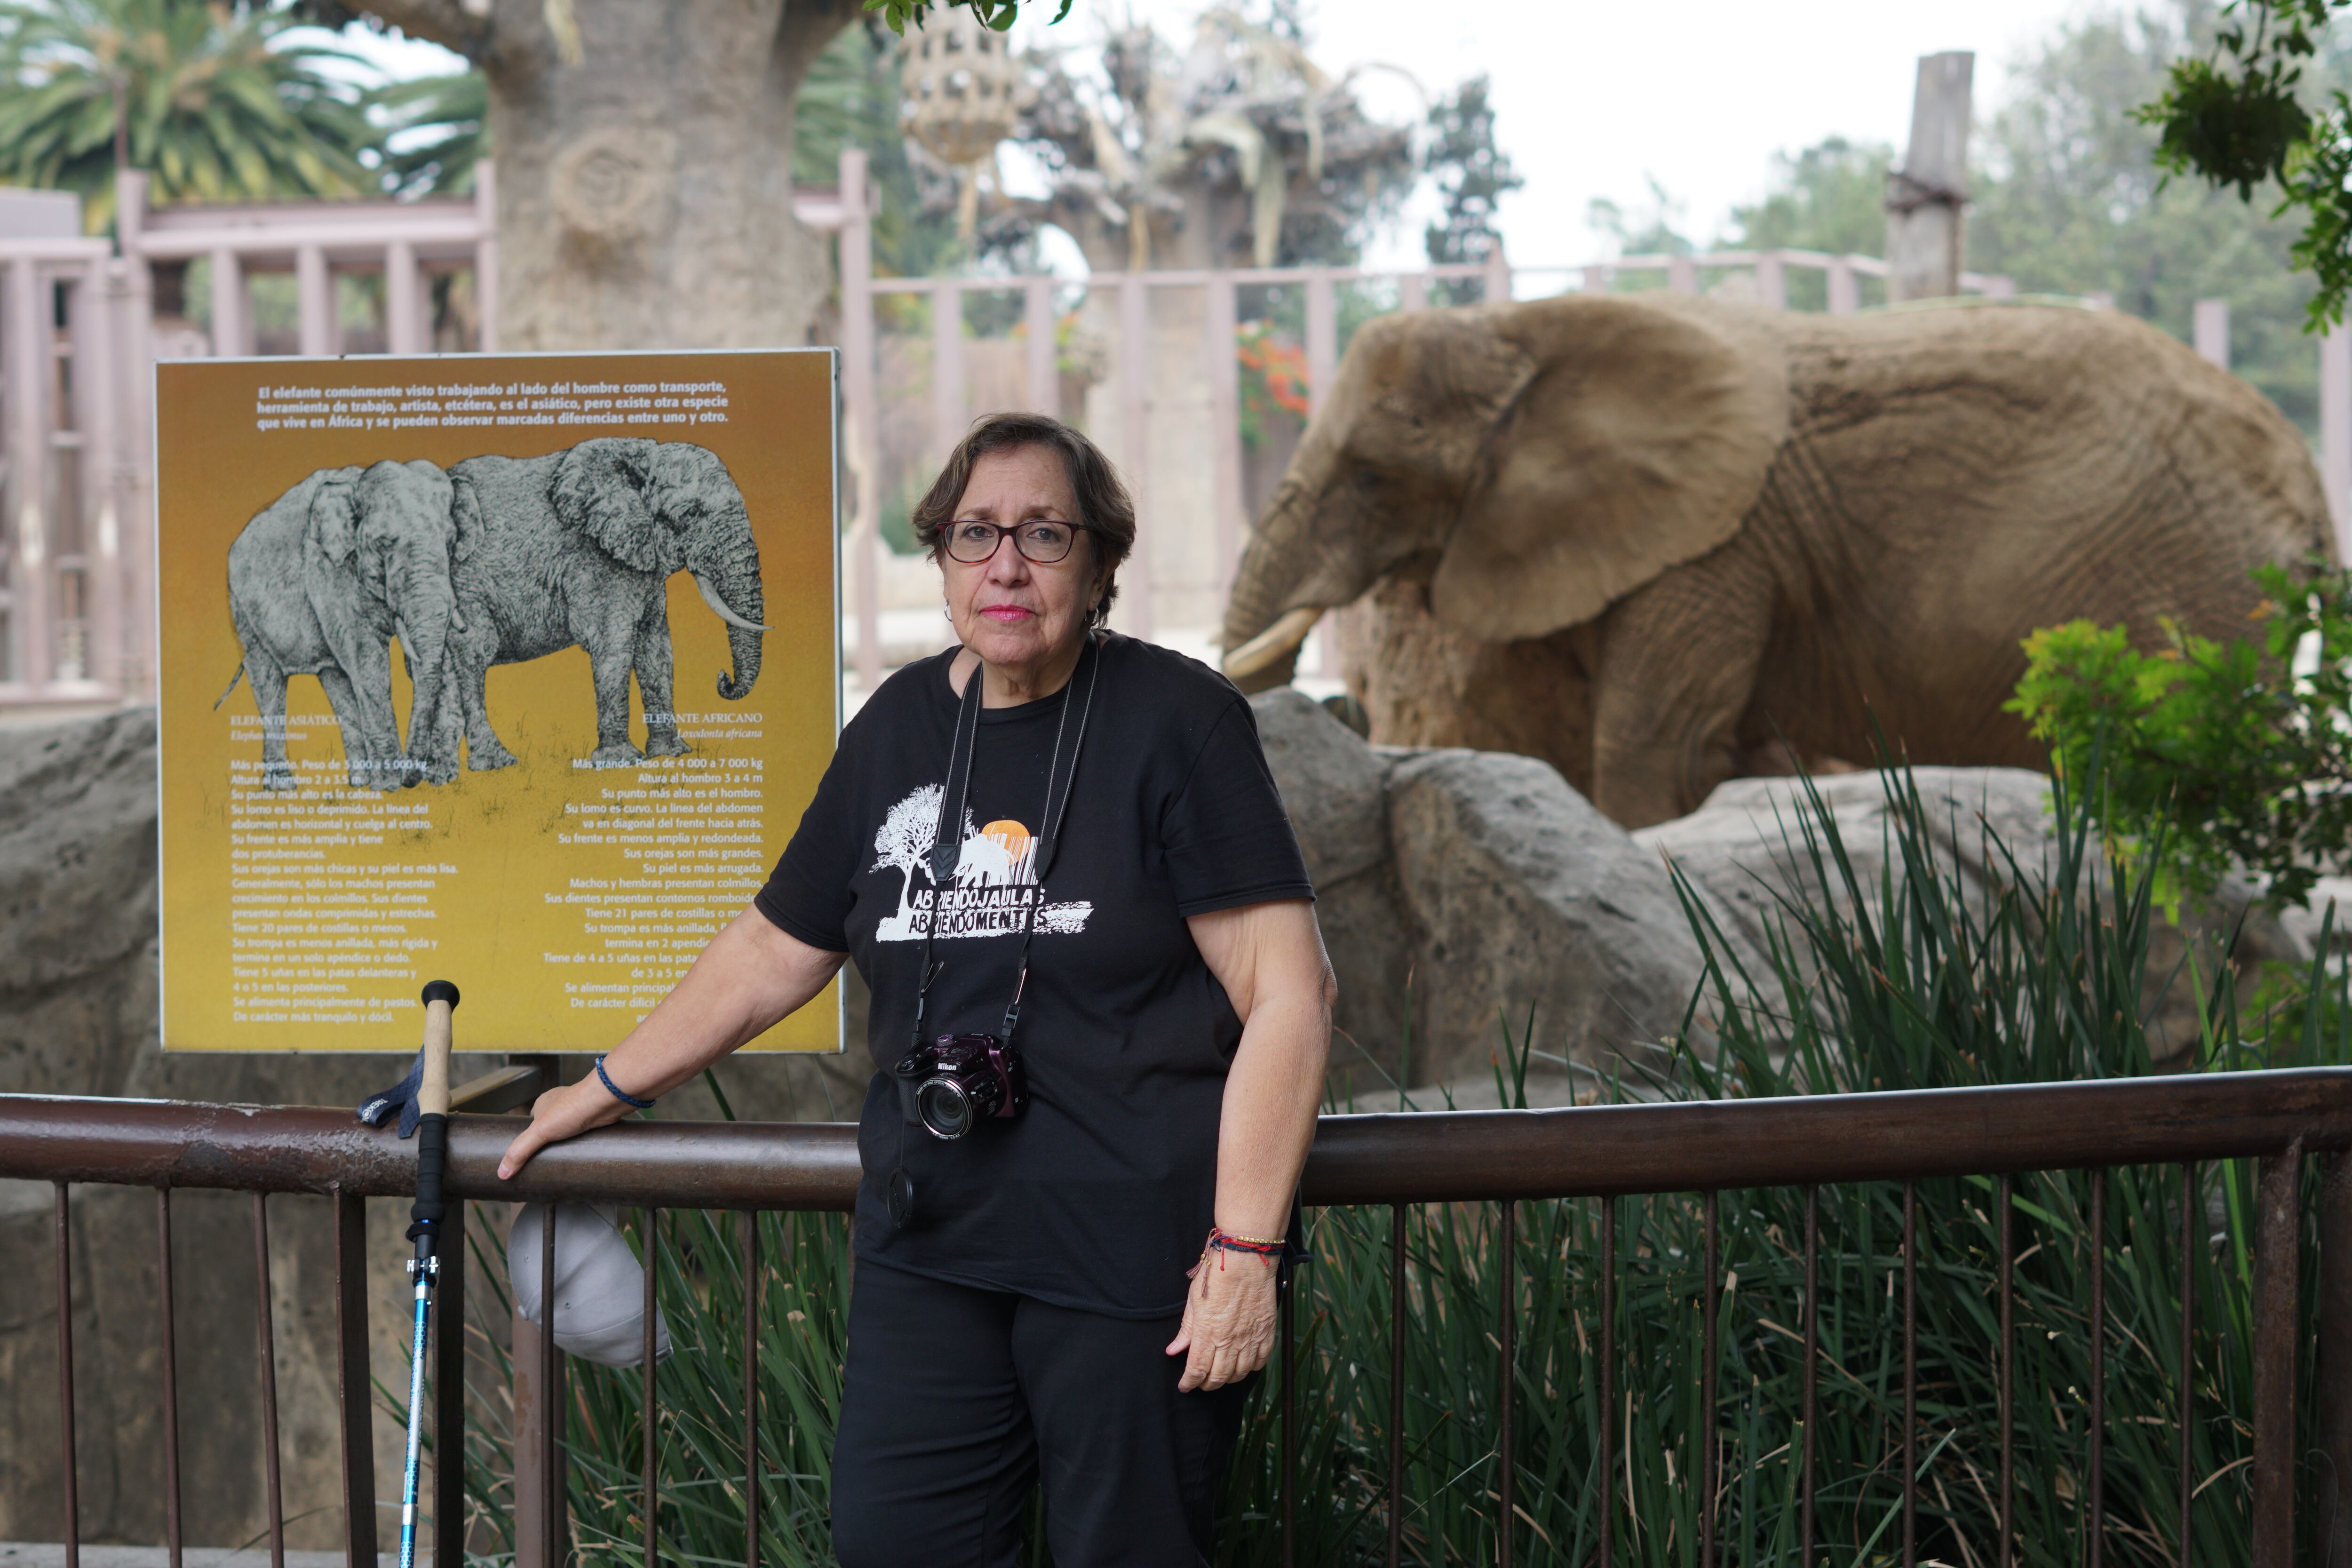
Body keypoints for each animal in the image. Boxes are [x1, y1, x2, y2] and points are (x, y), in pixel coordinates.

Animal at [222, 461, 470, 789]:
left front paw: (440, 778)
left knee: (335, 677)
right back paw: (284, 786)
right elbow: (368, 664)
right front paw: (390, 787)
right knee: (268, 680)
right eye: (383, 544)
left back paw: (360, 782)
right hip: (243, 611)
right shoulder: (330, 570)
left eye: (451, 543)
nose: (412, 779)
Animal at [428, 439, 776, 776]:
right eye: (690, 514)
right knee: (475, 653)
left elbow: (657, 649)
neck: (642, 456)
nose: (724, 679)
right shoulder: (593, 561)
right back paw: (495, 763)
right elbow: (614, 644)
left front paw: (672, 754)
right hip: (464, 586)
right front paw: (621, 761)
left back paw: (440, 775)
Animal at [1223, 297, 2343, 832]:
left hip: (2198, 598)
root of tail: (2308, 475)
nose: (1341, 706)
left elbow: (1658, 754)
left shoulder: (1714, 545)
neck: (1526, 329)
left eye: (1373, 475)